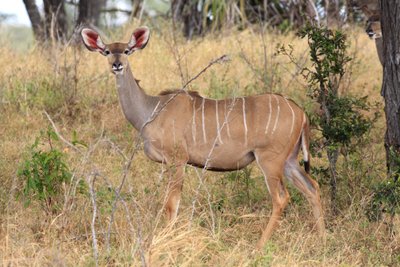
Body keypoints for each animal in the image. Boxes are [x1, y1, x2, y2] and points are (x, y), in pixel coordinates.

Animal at [80, 26, 324, 249]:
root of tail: (301, 113)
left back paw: (259, 246)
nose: (117, 65)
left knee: (281, 198)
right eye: (107, 51)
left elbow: (172, 204)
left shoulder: (177, 159)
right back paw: (322, 237)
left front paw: (166, 240)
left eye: (127, 51)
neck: (151, 110)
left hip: (270, 160)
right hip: (289, 161)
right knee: (313, 187)